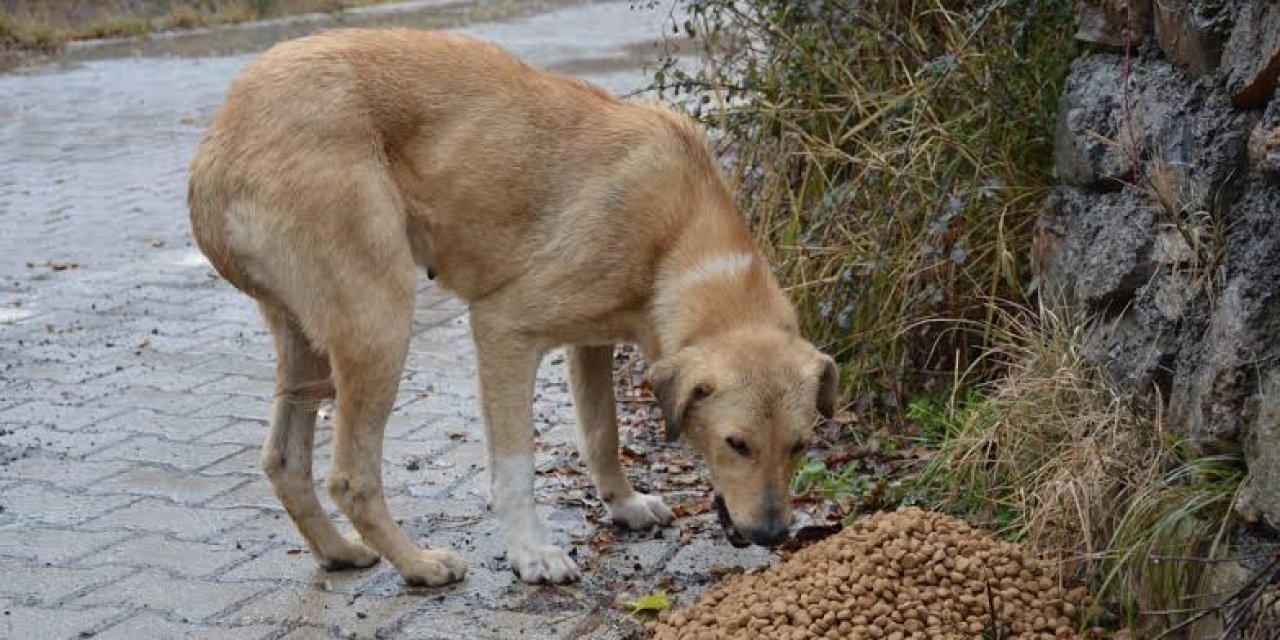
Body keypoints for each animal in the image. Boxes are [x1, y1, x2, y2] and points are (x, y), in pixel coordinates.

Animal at [185, 27, 834, 586]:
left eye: (800, 445)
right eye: (736, 443)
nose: (774, 536)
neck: (676, 236)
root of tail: (217, 146)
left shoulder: (591, 341)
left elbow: (601, 433)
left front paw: (623, 505)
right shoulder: (504, 330)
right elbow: (518, 465)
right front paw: (532, 553)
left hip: (309, 347)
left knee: (284, 462)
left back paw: (339, 552)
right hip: (379, 329)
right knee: (350, 477)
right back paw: (417, 565)